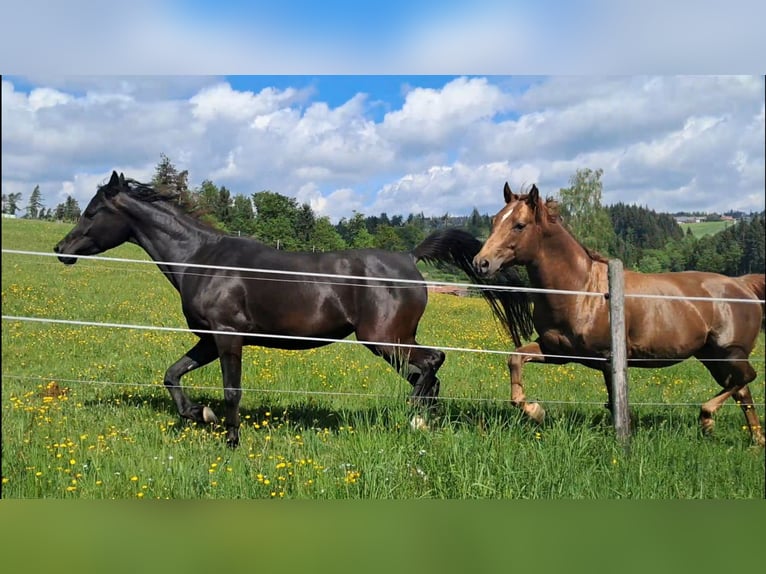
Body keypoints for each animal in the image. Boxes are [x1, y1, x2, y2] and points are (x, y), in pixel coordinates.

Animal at [53, 171, 530, 447]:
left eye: (92, 211)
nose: (61, 249)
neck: (201, 260)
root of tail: (409, 258)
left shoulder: (228, 338)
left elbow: (232, 391)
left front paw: (230, 441)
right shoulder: (207, 339)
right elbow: (172, 375)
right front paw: (197, 414)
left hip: (385, 339)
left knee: (432, 364)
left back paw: (415, 418)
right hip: (392, 342)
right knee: (427, 375)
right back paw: (422, 423)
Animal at [471, 182, 765, 446]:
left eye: (519, 225)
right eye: (495, 220)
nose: (481, 263)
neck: (582, 290)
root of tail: (743, 284)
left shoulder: (607, 358)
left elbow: (616, 403)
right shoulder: (557, 351)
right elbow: (515, 358)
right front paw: (536, 411)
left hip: (730, 352)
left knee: (746, 379)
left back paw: (708, 418)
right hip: (711, 355)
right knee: (743, 390)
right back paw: (755, 440)